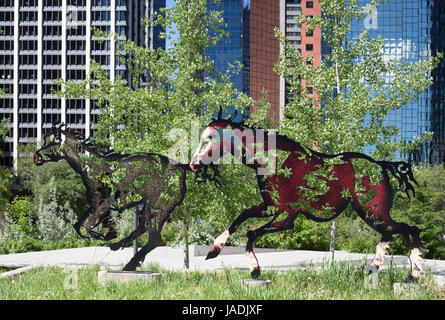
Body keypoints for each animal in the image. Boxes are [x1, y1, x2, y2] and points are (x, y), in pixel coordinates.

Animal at [33, 124, 186, 272]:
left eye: (55, 139)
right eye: (46, 138)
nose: (37, 156)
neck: (86, 166)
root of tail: (181, 170)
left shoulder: (103, 204)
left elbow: (87, 225)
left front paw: (108, 235)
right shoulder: (94, 204)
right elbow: (78, 225)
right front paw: (107, 236)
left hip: (158, 205)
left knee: (155, 239)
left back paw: (129, 264)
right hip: (152, 207)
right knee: (144, 230)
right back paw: (122, 250)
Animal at [188, 112, 424, 280]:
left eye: (210, 137)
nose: (193, 165)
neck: (273, 160)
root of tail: (381, 166)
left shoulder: (286, 216)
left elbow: (251, 233)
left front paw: (255, 270)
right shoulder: (269, 207)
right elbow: (240, 218)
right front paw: (213, 250)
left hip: (372, 211)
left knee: (409, 230)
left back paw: (409, 276)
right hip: (370, 213)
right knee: (393, 234)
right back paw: (380, 269)